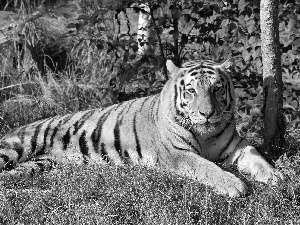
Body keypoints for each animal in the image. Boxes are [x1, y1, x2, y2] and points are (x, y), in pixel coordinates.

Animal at [0, 58, 284, 197]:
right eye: (191, 91)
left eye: (216, 88)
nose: (207, 114)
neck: (206, 135)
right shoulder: (178, 154)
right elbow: (207, 167)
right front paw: (235, 185)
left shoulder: (238, 146)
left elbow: (257, 157)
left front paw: (278, 176)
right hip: (15, 148)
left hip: (37, 165)